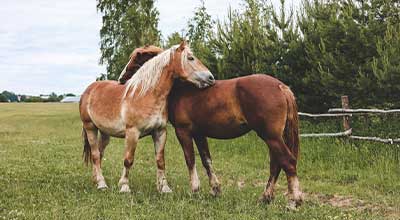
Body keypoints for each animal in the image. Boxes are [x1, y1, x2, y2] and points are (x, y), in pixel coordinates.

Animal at [79, 42, 214, 193]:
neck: (146, 95)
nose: (211, 77)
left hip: (104, 133)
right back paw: (102, 184)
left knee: (99, 153)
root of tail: (88, 90)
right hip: (90, 127)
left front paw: (165, 188)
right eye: (190, 58)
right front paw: (124, 186)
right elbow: (128, 160)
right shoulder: (132, 133)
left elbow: (160, 161)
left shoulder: (160, 132)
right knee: (95, 155)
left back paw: (96, 180)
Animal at [119, 45, 304, 208]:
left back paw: (293, 201)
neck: (181, 88)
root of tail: (281, 87)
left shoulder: (183, 131)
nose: (122, 79)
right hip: (273, 137)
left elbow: (190, 159)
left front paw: (194, 189)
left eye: (136, 58)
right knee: (276, 164)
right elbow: (206, 160)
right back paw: (266, 197)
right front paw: (215, 190)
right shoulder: (199, 133)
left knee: (287, 162)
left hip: (271, 137)